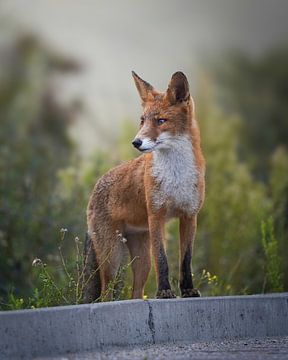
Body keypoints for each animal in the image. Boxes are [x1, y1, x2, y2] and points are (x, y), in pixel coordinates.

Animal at [83, 70, 205, 300]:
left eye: (161, 120)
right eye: (142, 121)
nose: (136, 142)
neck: (176, 176)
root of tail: (95, 188)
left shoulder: (189, 215)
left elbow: (186, 260)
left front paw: (188, 290)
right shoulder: (156, 215)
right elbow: (162, 259)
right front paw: (164, 291)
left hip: (141, 261)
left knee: (136, 293)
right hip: (112, 258)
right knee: (105, 293)